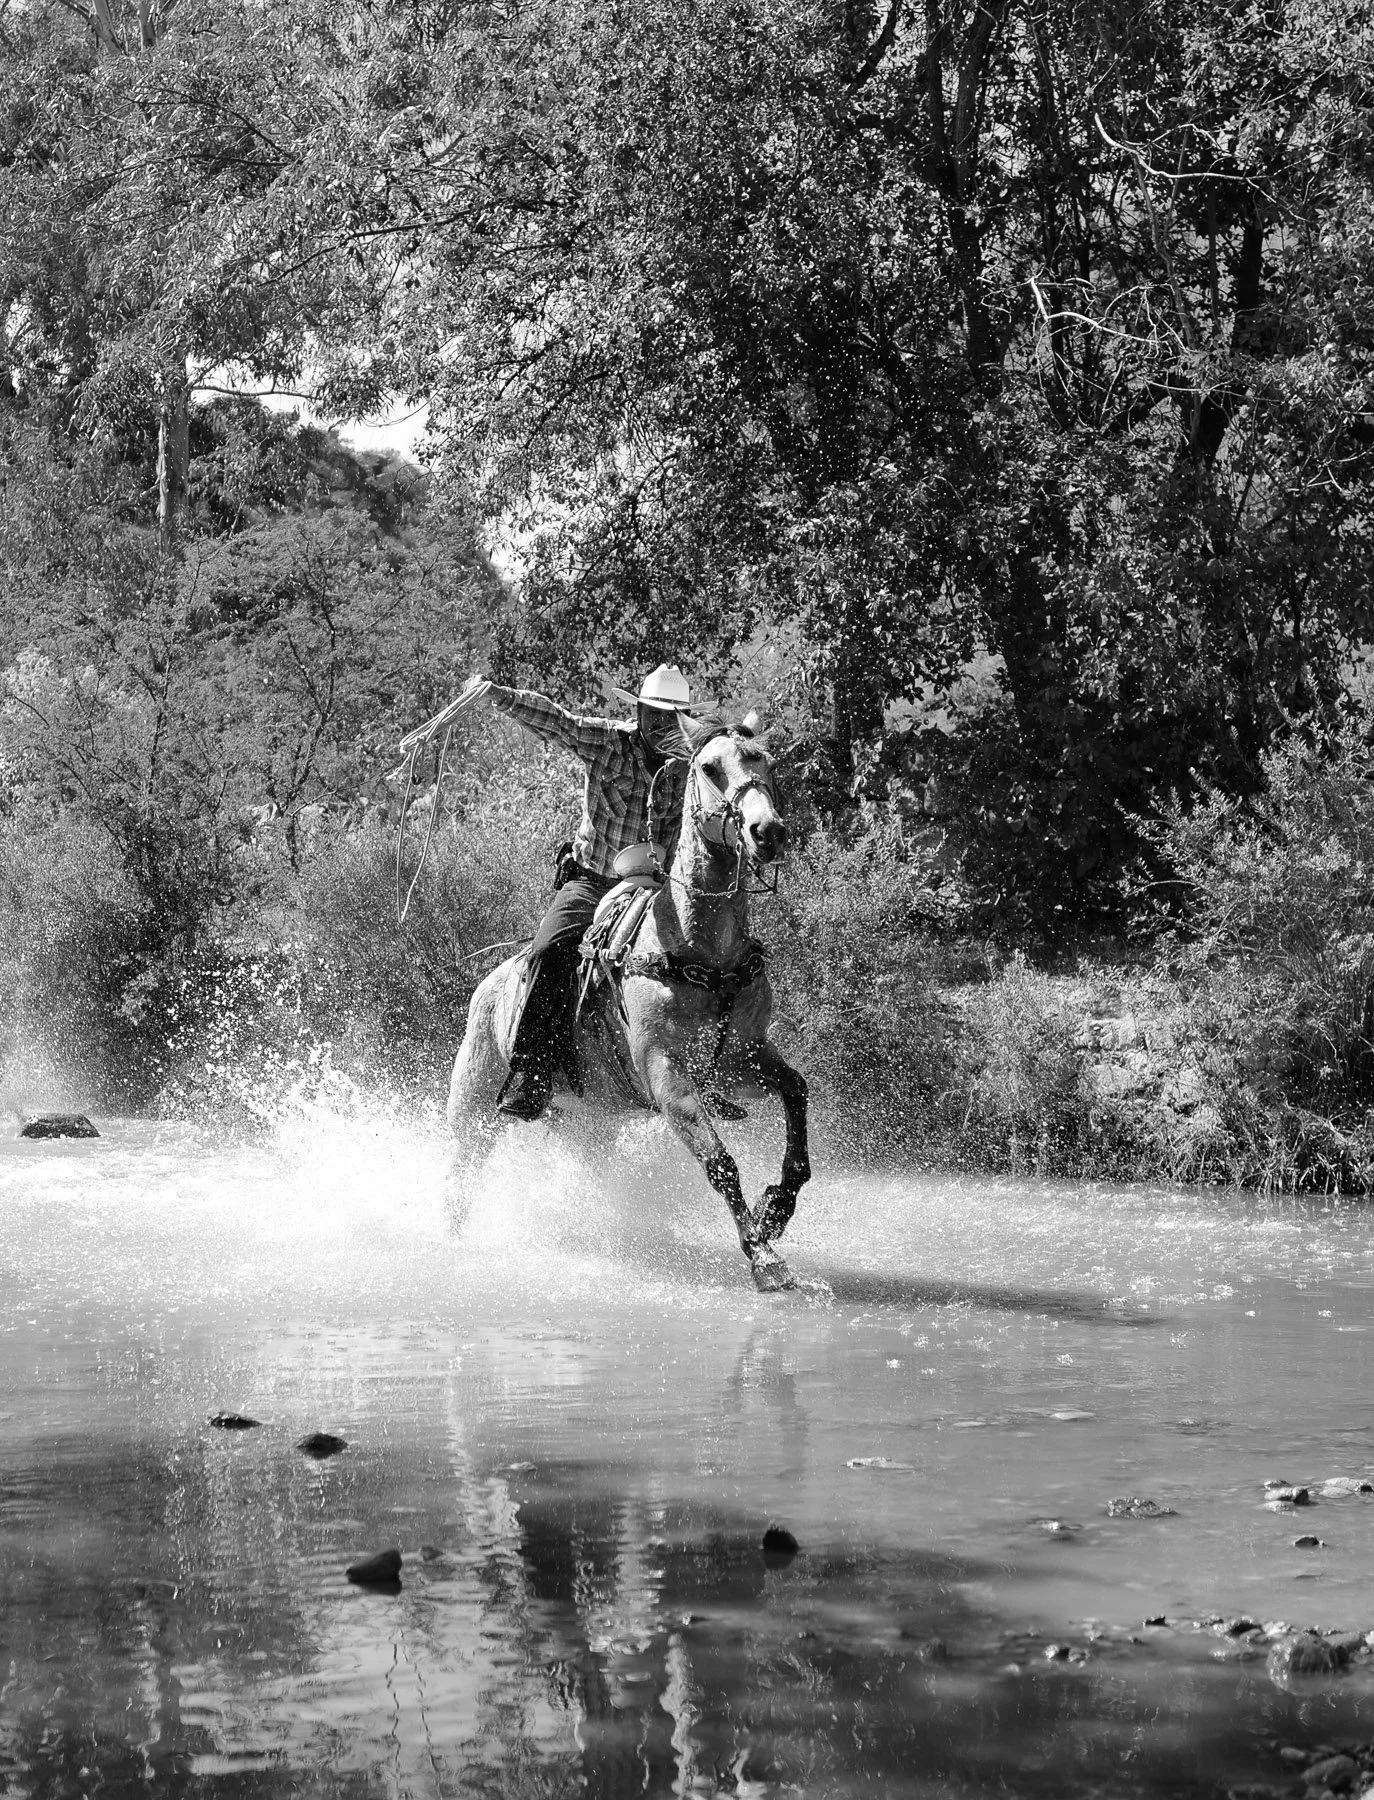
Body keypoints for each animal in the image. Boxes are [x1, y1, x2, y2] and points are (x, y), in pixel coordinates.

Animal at [444, 719, 811, 1291]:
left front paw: (777, 1208)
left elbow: (796, 1091)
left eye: (766, 763)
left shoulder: (741, 1060)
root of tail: (489, 987)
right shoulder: (666, 1074)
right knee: (460, 1173)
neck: (702, 952)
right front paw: (764, 1256)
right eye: (710, 768)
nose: (766, 831)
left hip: (587, 1120)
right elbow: (719, 1162)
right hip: (473, 1105)